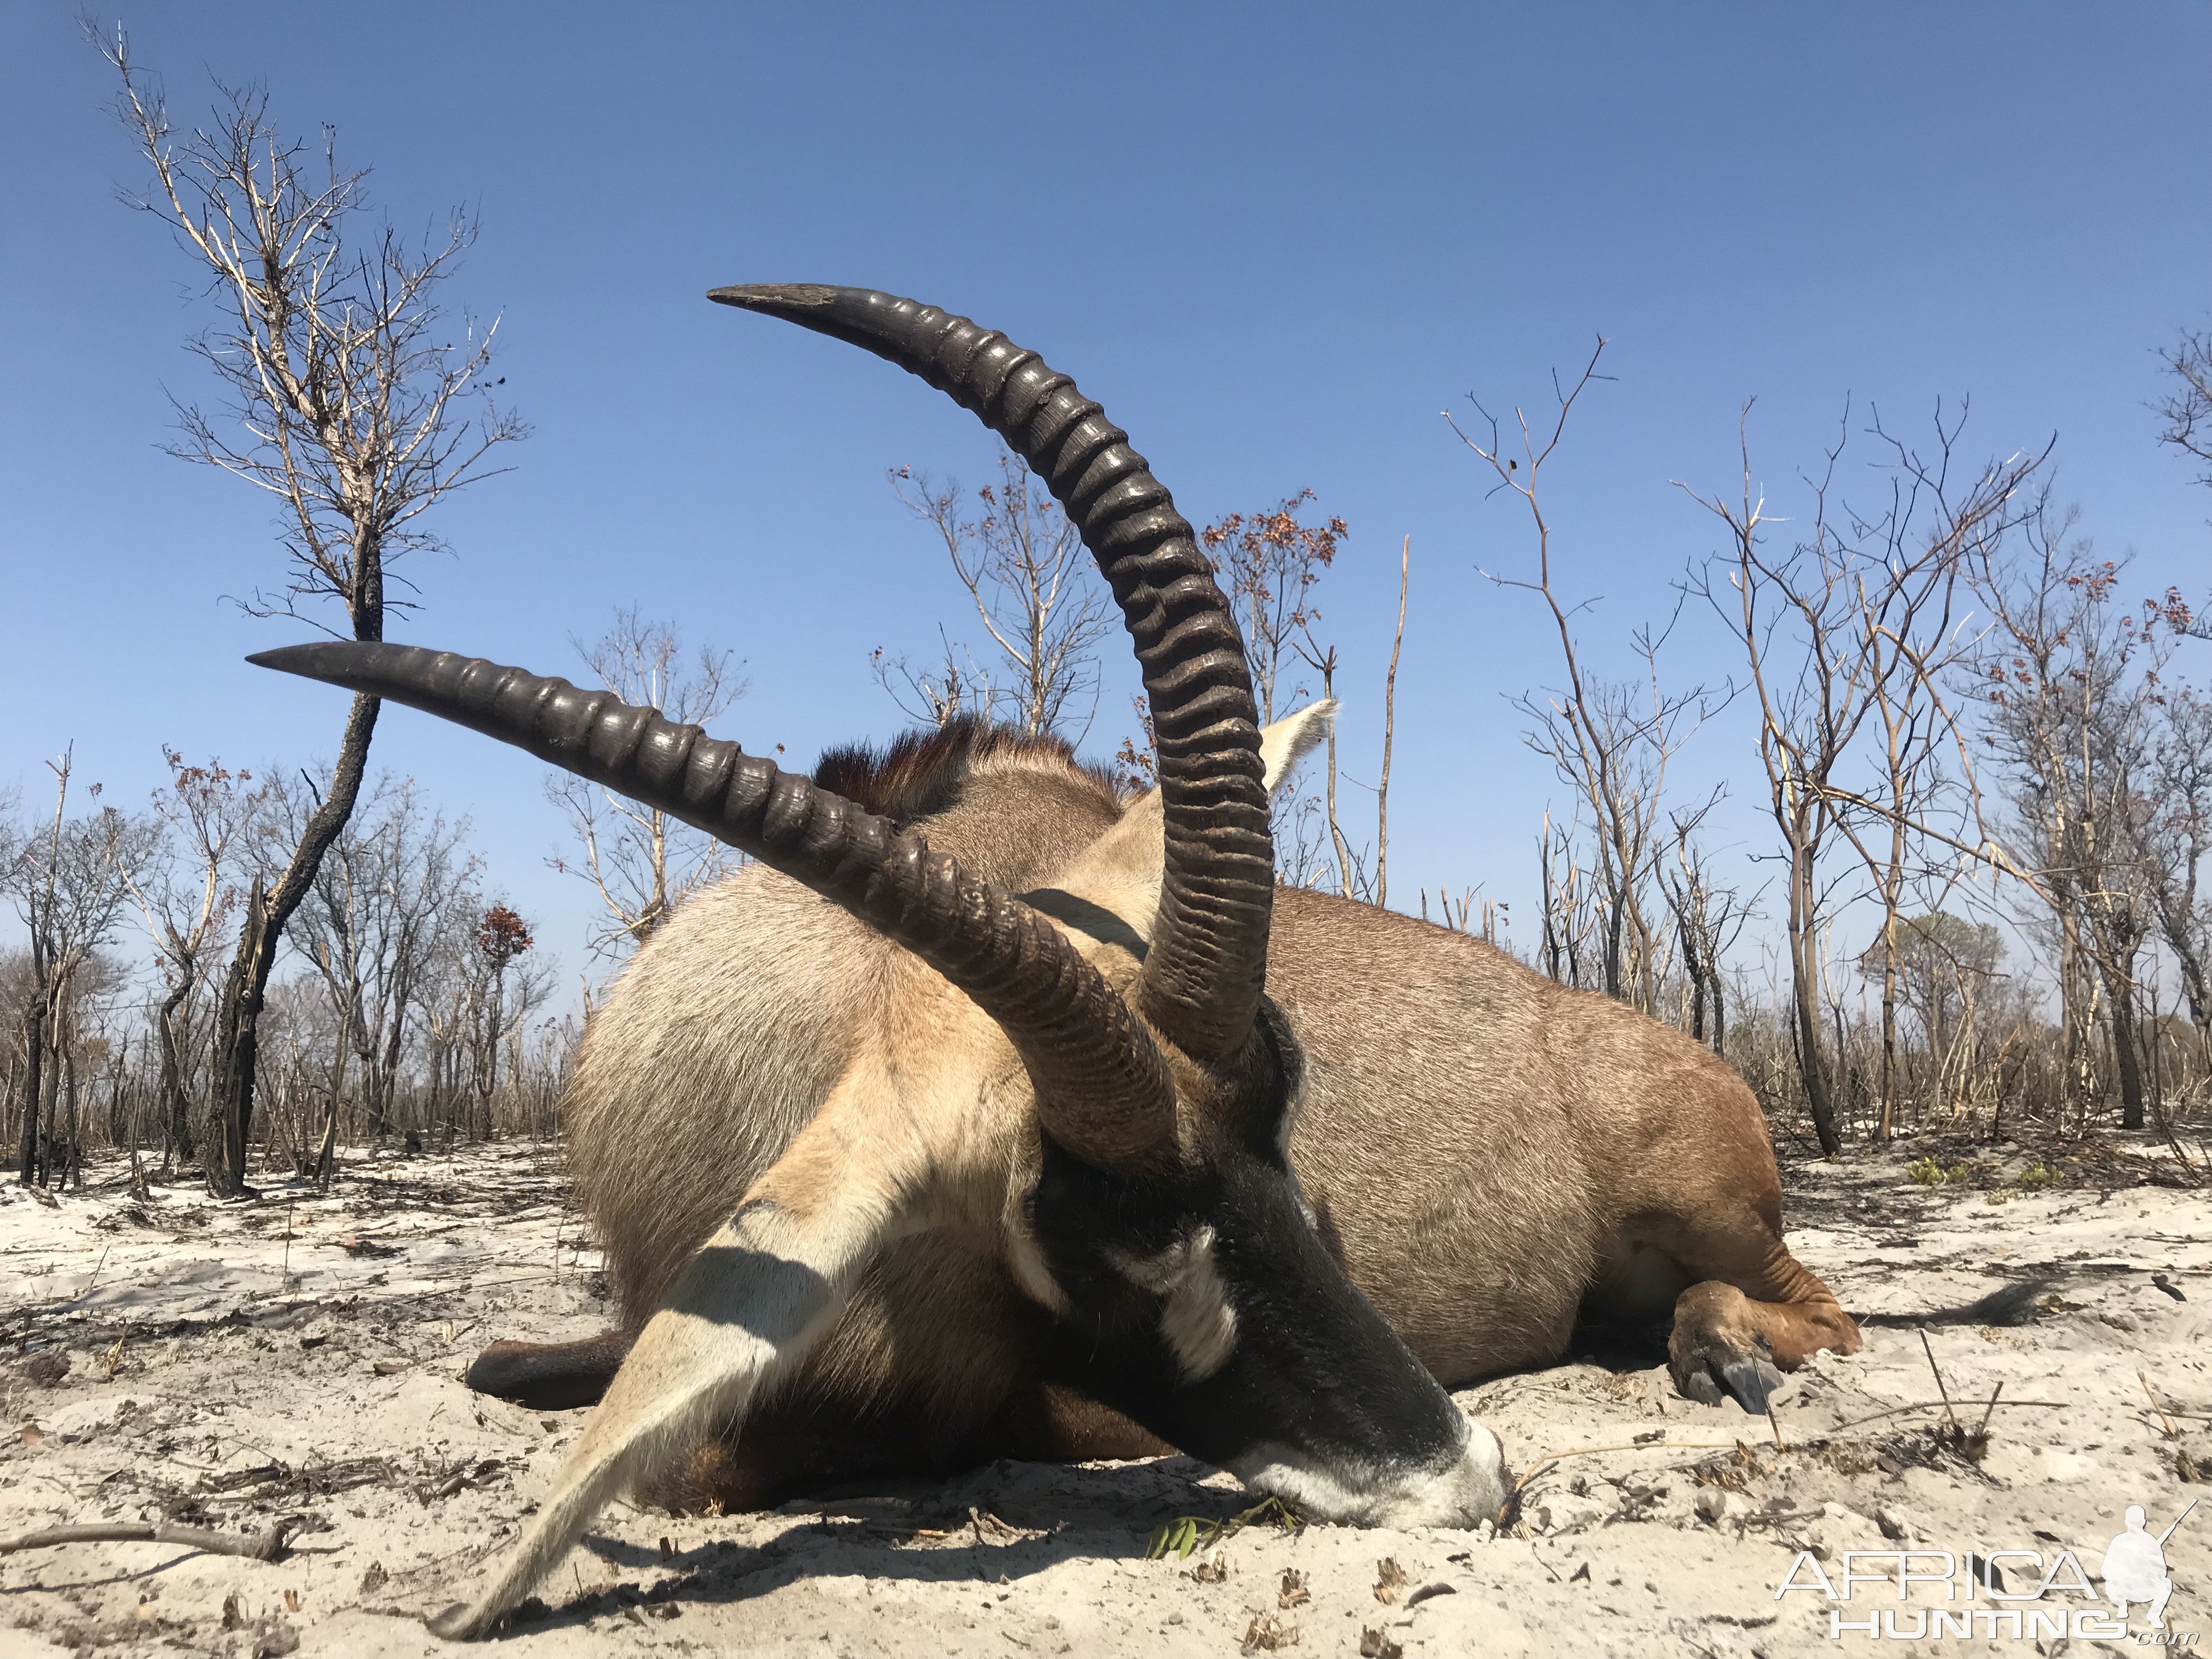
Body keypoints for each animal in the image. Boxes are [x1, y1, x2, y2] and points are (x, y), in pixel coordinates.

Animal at [251, 283, 1858, 1637]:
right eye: (1103, 1241)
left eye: (1287, 1124)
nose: (1472, 1476)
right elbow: (520, 1374)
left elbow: (712, 1462)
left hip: (1712, 1204)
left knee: (1816, 1304)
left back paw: (1724, 1350)